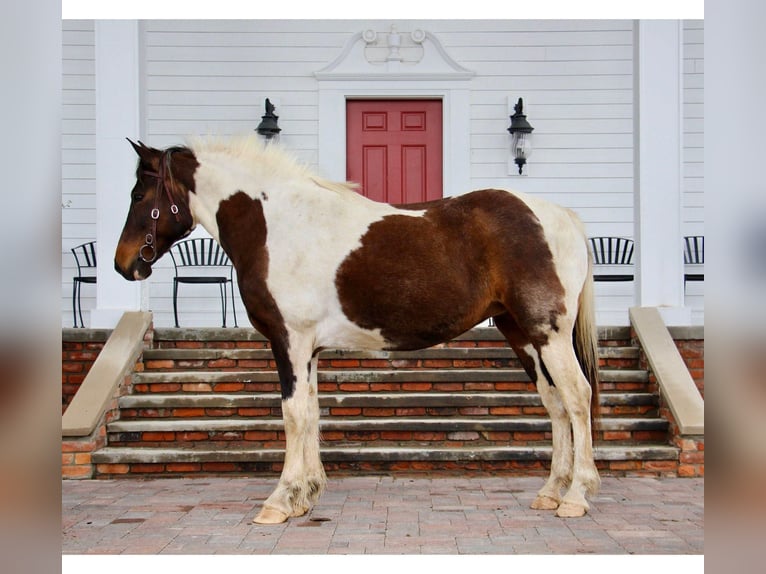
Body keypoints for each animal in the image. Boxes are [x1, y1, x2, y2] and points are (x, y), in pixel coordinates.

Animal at [115, 136, 600, 528]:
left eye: (139, 193)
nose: (124, 264)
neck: (277, 225)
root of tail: (561, 216)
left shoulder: (289, 341)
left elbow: (293, 415)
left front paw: (278, 502)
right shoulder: (307, 349)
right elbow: (310, 413)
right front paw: (304, 497)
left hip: (548, 333)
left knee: (577, 397)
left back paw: (577, 496)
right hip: (523, 335)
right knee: (556, 404)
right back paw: (550, 493)